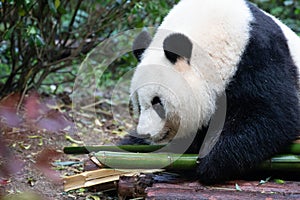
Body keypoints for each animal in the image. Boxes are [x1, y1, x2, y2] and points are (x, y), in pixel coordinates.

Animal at [119, 0, 300, 184]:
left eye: (157, 102)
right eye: (138, 104)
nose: (145, 132)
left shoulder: (257, 54)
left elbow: (274, 114)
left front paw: (211, 161)